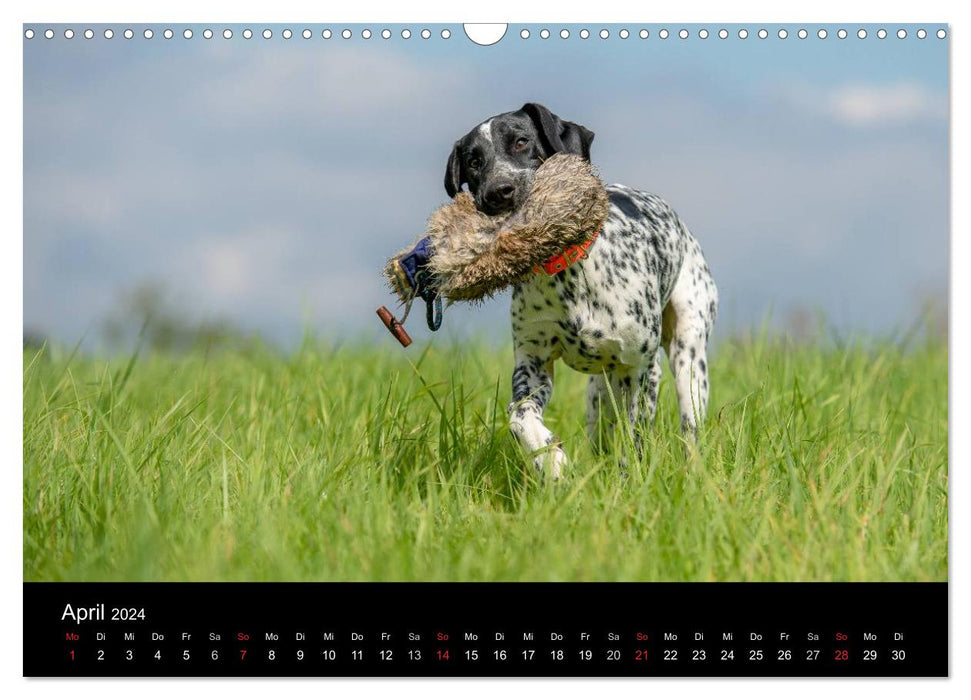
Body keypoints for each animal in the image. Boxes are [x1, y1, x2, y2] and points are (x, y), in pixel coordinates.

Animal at [444, 101, 716, 478]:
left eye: (521, 141)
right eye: (474, 161)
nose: (499, 191)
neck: (568, 276)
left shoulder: (637, 369)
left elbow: (633, 437)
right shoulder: (533, 363)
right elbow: (520, 417)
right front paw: (550, 459)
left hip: (687, 358)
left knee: (688, 427)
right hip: (599, 394)